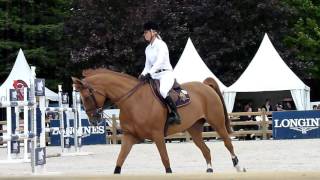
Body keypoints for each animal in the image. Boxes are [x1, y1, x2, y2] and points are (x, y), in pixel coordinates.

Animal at [71, 68, 244, 174]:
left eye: (86, 96)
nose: (93, 120)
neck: (133, 101)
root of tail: (204, 85)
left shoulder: (158, 136)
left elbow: (165, 161)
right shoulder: (129, 137)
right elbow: (119, 161)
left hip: (217, 123)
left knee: (228, 143)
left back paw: (239, 166)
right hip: (194, 130)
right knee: (206, 150)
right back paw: (209, 170)